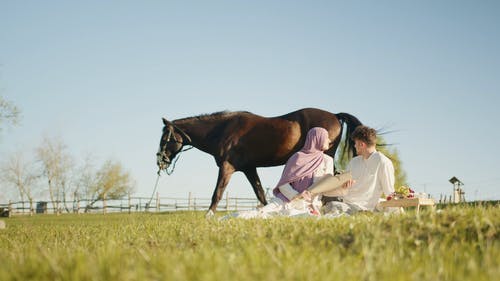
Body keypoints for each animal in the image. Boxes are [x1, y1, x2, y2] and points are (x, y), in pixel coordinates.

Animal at [154, 106, 362, 214]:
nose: (160, 161)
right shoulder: (249, 169)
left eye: (164, 138)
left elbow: (217, 193)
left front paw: (208, 215)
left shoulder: (227, 168)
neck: (224, 130)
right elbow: (260, 193)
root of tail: (335, 115)